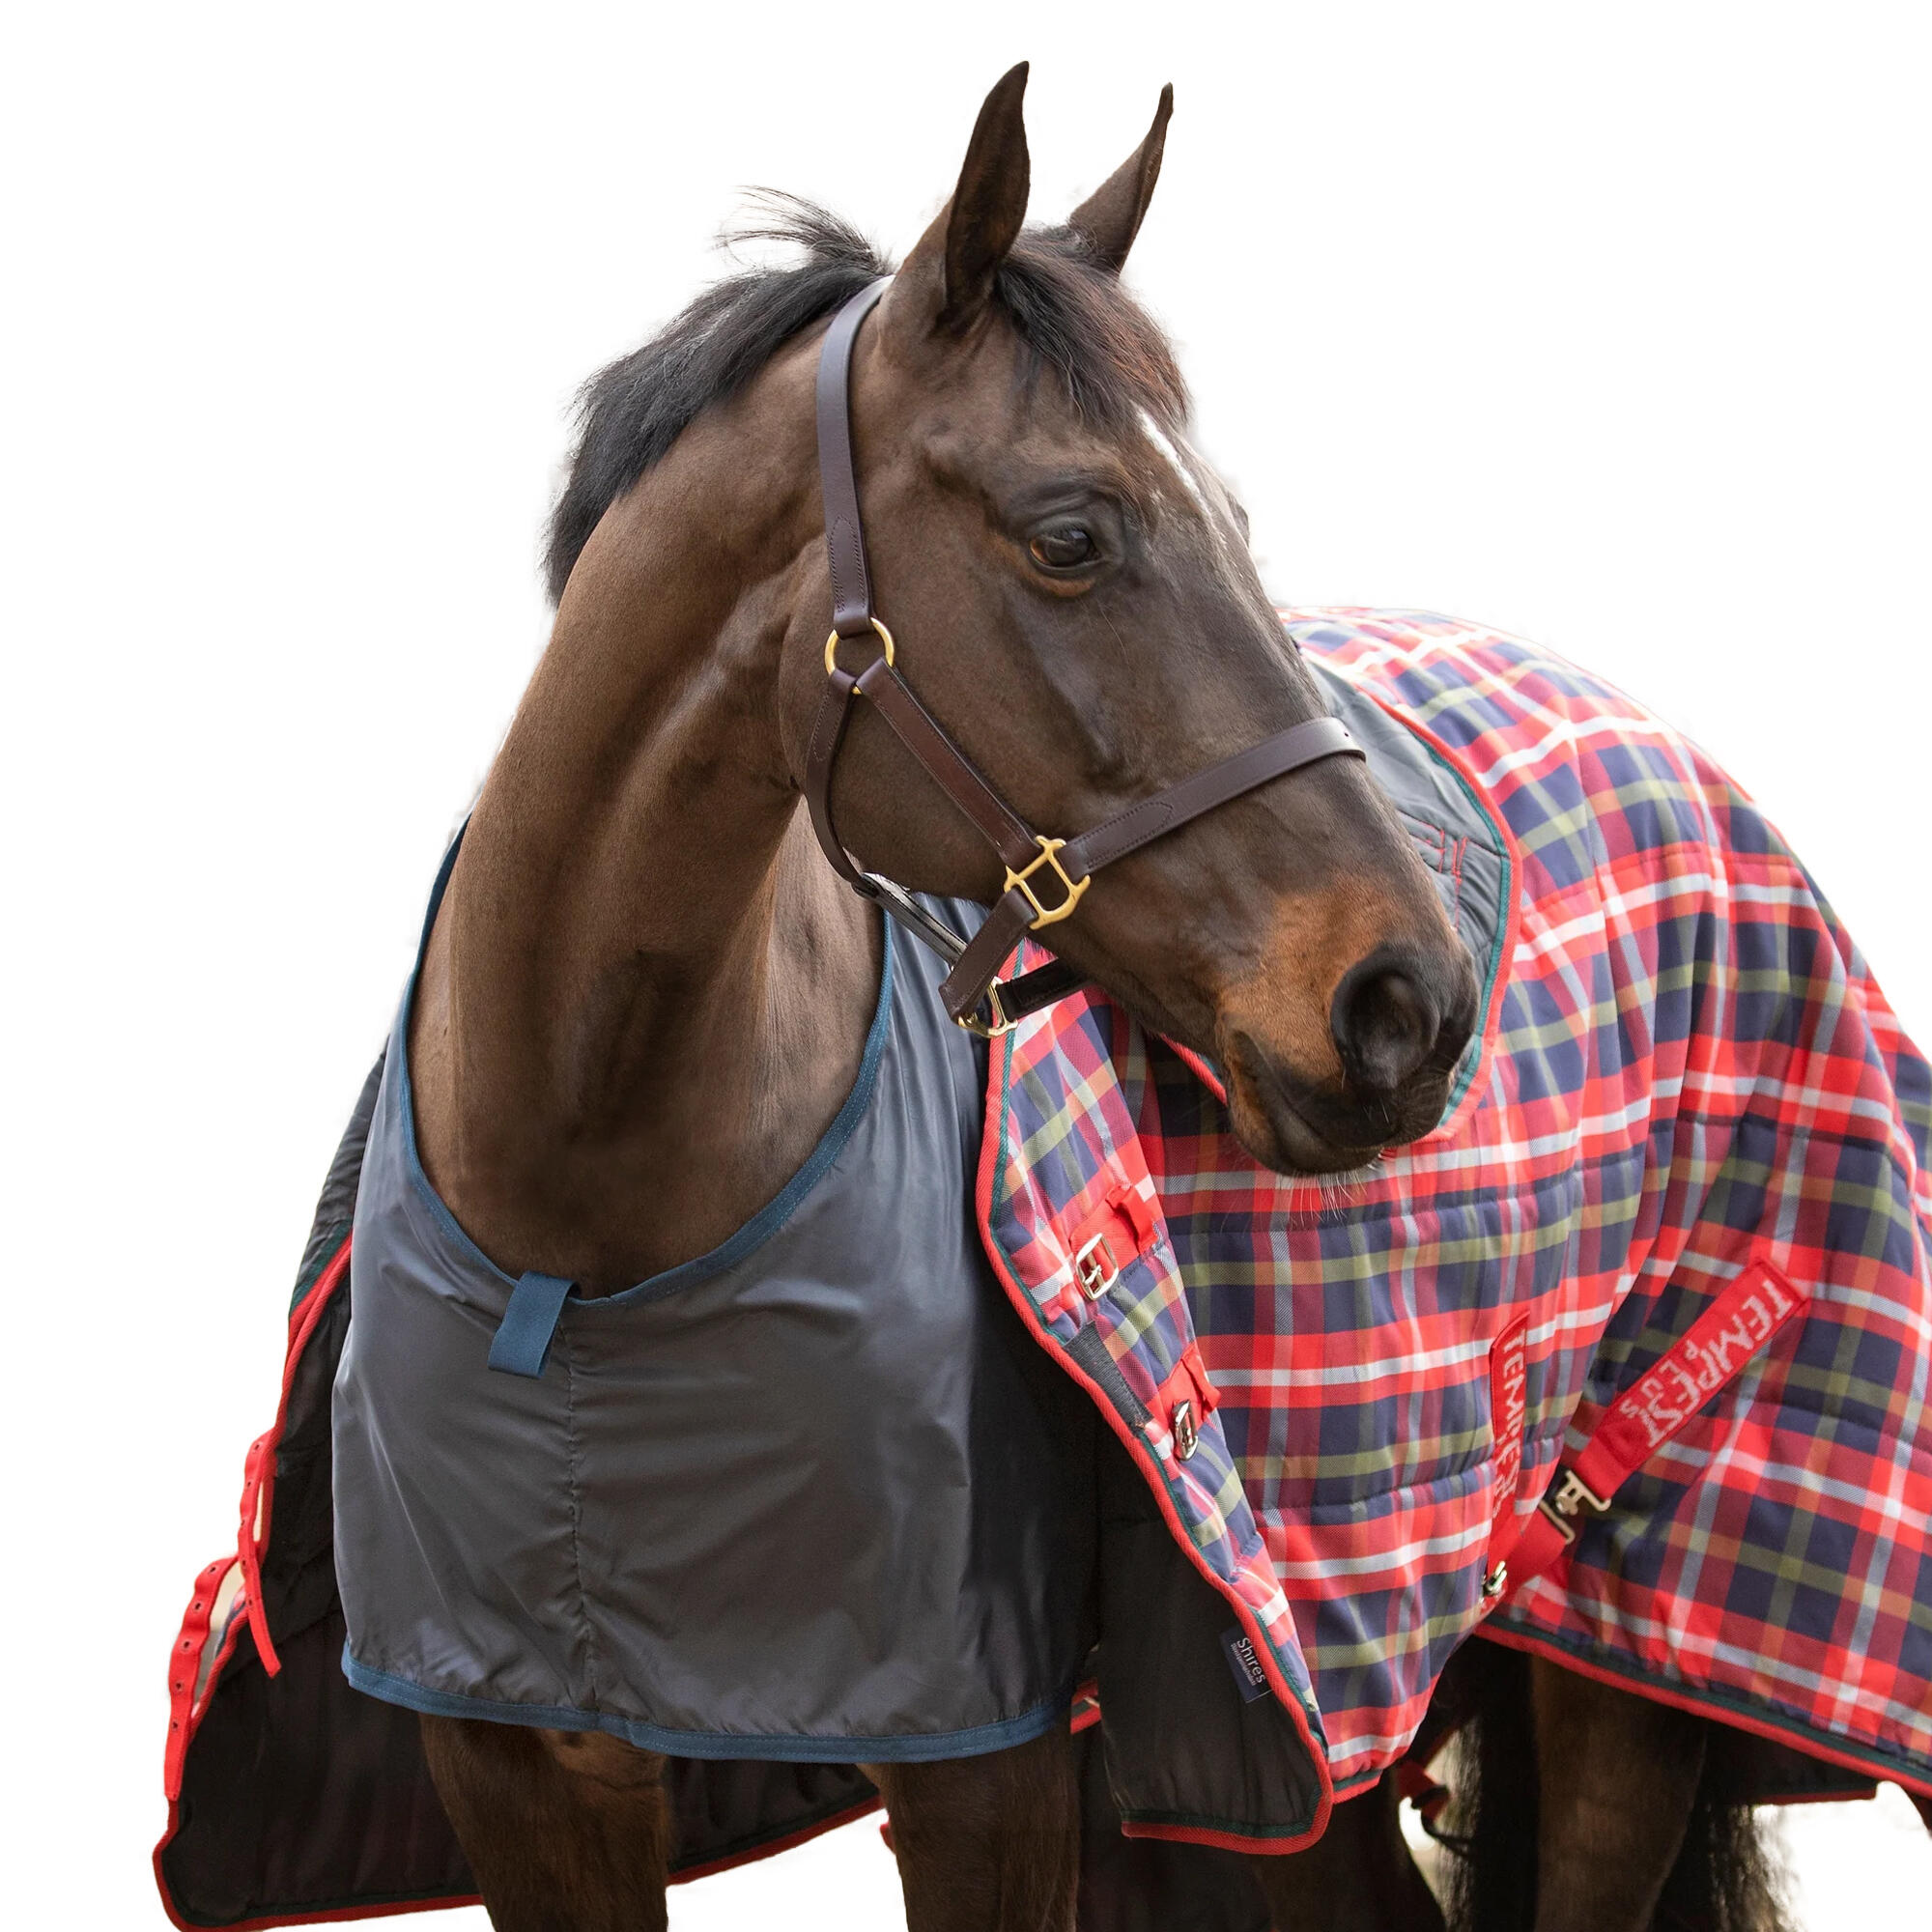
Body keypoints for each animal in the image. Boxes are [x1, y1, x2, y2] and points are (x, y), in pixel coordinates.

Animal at [381, 64, 1476, 1932]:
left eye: (1240, 525)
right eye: (1071, 535)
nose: (1413, 1000)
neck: (583, 1223)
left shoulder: (989, 1764)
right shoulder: (513, 1766)